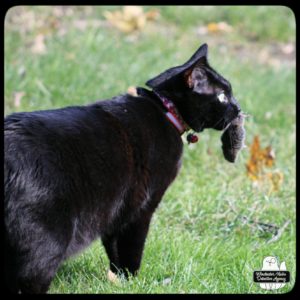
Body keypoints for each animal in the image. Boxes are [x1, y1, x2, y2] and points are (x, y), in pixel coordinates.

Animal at [4, 44, 244, 292]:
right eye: (223, 96)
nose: (238, 108)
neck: (165, 109)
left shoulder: (116, 210)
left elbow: (114, 247)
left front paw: (117, 279)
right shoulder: (141, 207)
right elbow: (131, 248)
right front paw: (132, 281)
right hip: (46, 238)